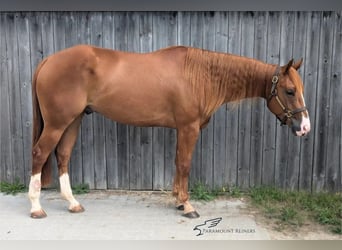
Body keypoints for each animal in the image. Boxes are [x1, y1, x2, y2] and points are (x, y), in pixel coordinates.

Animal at [28, 45, 310, 219]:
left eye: (300, 89)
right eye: (289, 91)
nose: (304, 127)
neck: (200, 76)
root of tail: (48, 60)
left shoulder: (182, 129)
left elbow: (178, 163)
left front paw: (178, 201)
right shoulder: (188, 127)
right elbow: (184, 164)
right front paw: (187, 206)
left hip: (73, 120)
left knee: (63, 155)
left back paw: (73, 203)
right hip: (57, 123)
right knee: (40, 153)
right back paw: (36, 207)